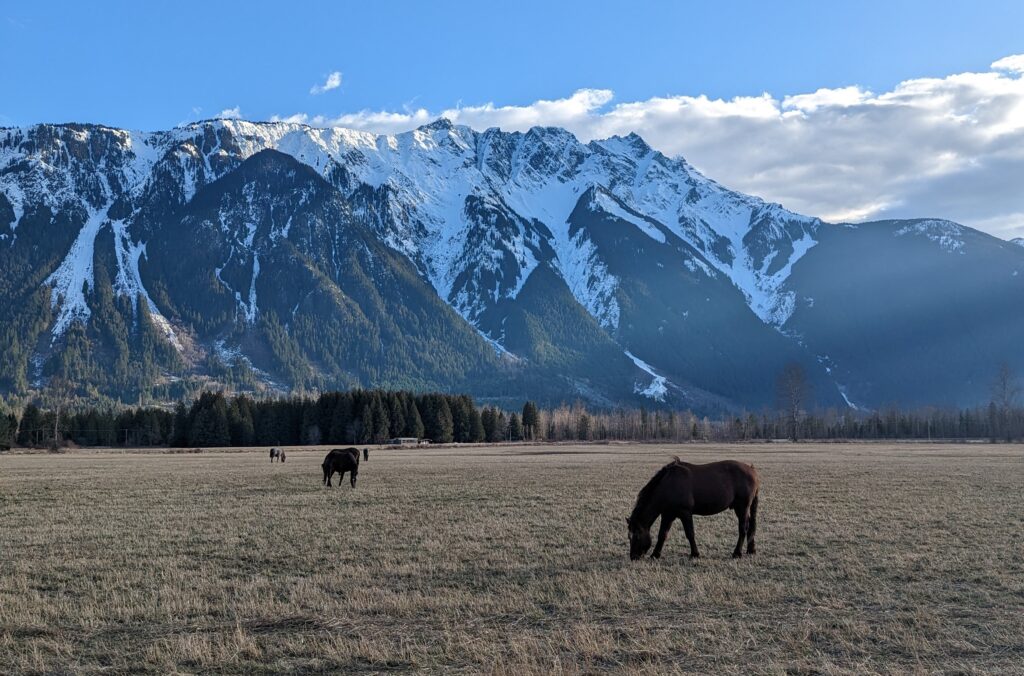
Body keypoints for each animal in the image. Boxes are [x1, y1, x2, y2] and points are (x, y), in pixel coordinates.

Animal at [622, 458, 761, 561]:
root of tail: (752, 470)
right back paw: (751, 550)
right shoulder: (668, 514)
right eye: (629, 536)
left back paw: (737, 553)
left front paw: (695, 554)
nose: (633, 557)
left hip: (742, 507)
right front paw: (655, 555)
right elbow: (662, 534)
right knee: (750, 525)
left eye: (636, 536)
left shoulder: (685, 513)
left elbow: (690, 533)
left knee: (743, 528)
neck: (668, 484)